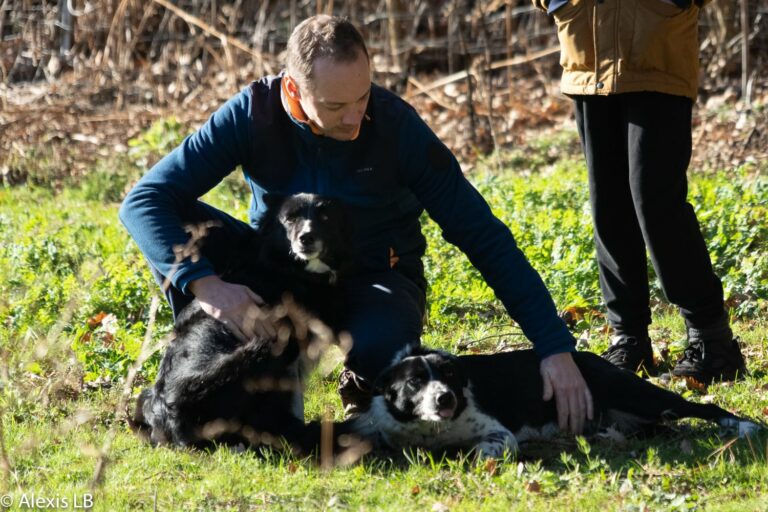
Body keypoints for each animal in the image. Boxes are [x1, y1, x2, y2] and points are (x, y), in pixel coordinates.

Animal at [133, 194, 354, 450]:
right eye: (289, 219)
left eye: (325, 217)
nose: (305, 238)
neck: (287, 265)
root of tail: (168, 417)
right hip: (264, 352)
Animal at [350, 346, 760, 458]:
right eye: (415, 382)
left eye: (449, 376)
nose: (445, 396)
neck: (432, 430)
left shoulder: (499, 433)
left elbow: (487, 448)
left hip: (639, 395)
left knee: (705, 408)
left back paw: (744, 426)